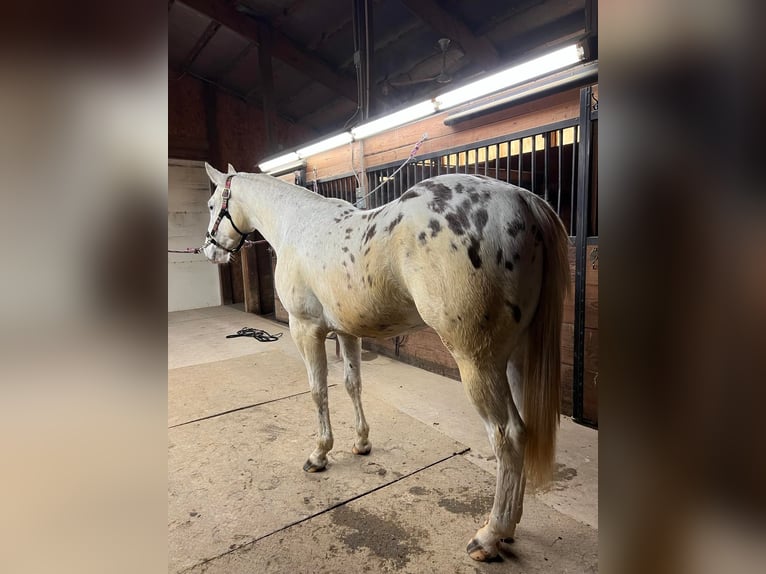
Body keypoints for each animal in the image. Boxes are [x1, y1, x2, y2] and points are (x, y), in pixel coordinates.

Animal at [201, 162, 568, 564]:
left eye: (211, 204)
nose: (209, 250)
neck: (298, 225)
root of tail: (521, 198)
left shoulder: (306, 329)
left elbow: (317, 391)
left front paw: (319, 454)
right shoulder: (346, 333)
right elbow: (352, 385)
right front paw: (361, 442)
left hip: (478, 362)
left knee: (508, 436)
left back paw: (489, 536)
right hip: (517, 357)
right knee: (524, 431)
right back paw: (510, 528)